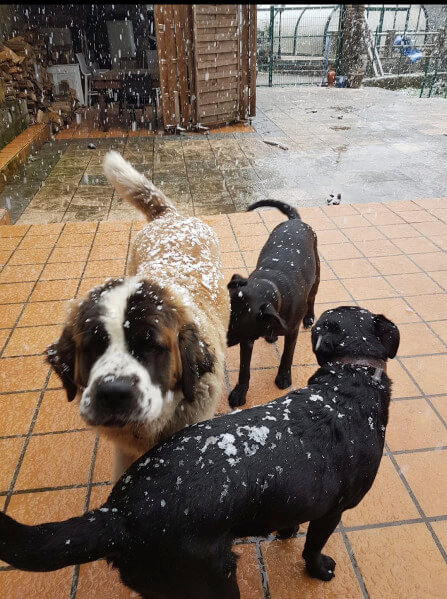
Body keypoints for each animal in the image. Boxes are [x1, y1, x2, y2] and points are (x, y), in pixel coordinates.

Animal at [0, 310, 400, 599]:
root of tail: (119, 513)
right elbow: (313, 546)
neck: (348, 378)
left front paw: (287, 531)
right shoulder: (334, 511)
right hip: (214, 579)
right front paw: (318, 568)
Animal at [229, 199, 320, 410]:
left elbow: (287, 356)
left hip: (317, 276)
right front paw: (239, 392)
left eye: (238, 325)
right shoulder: (247, 341)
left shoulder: (292, 332)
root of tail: (295, 221)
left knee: (312, 298)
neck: (271, 285)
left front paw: (284, 377)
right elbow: (244, 369)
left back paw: (309, 317)